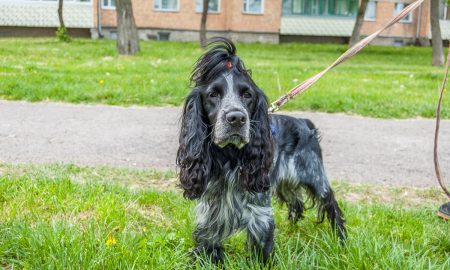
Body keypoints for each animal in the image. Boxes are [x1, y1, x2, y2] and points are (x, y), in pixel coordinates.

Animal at [176, 37, 344, 264]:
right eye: (213, 94)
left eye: (247, 95)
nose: (236, 118)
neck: (229, 156)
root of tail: (305, 123)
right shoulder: (210, 212)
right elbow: (208, 242)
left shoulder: (259, 213)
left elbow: (261, 247)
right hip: (285, 180)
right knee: (296, 202)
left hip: (314, 175)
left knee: (331, 204)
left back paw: (342, 239)